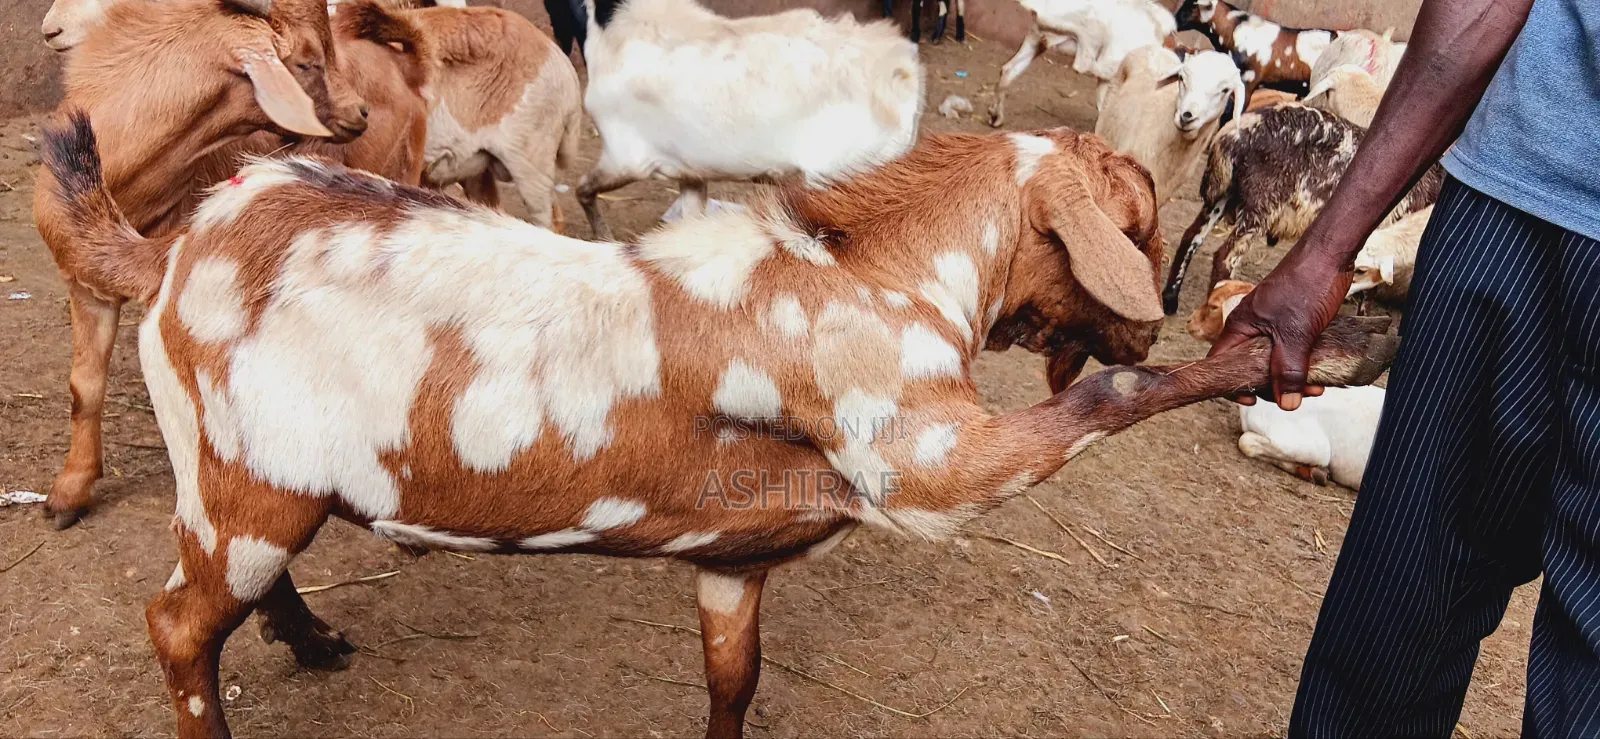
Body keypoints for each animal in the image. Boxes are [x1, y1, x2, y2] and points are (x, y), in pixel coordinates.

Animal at [41, 113, 1395, 739]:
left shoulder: (731, 560)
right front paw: (1323, 341)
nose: (1141, 312)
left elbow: (732, 680)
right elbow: (1106, 403)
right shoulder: (929, 465)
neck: (876, 276)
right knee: (175, 622)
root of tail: (175, 248)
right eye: (1141, 213)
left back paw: (313, 639)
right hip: (243, 484)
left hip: (259, 480)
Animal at [1160, 104, 1444, 314]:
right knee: (1225, 257)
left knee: (1191, 237)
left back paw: (1170, 299)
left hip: (1225, 195)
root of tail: (1232, 135)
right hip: (1262, 202)